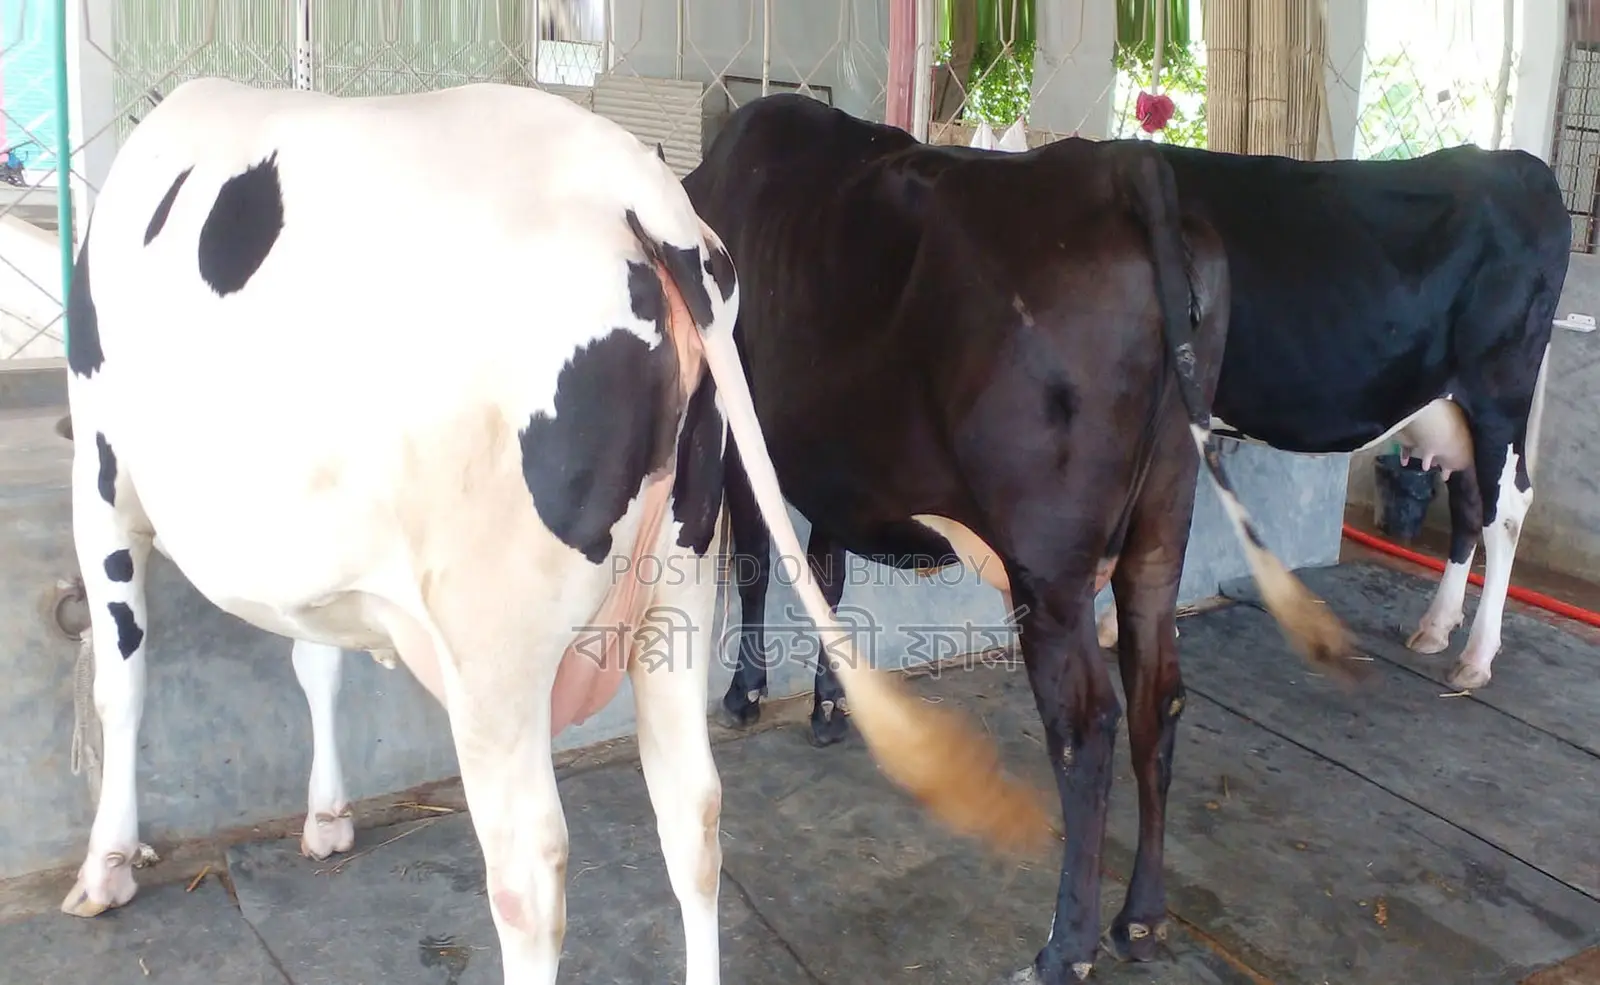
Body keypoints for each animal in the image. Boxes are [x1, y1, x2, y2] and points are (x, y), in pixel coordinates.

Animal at [56, 77, 1053, 984]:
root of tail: (638, 193)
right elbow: (316, 657)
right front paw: (327, 814)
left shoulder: (100, 479)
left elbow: (123, 681)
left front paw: (106, 863)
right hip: (676, 582)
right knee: (693, 813)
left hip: (494, 643)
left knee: (531, 872)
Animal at [682, 93, 1369, 984]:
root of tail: (1119, 168)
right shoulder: (838, 468)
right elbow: (826, 574)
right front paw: (832, 704)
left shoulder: (743, 431)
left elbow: (759, 564)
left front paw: (746, 694)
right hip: (1162, 523)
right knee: (1158, 697)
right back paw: (1140, 920)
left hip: (1048, 563)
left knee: (1088, 724)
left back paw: (1063, 946)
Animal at [1089, 141, 1570, 695]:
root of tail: (1516, 163)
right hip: (1454, 413)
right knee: (1471, 506)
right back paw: (1435, 627)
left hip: (1498, 399)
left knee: (1505, 512)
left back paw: (1477, 655)